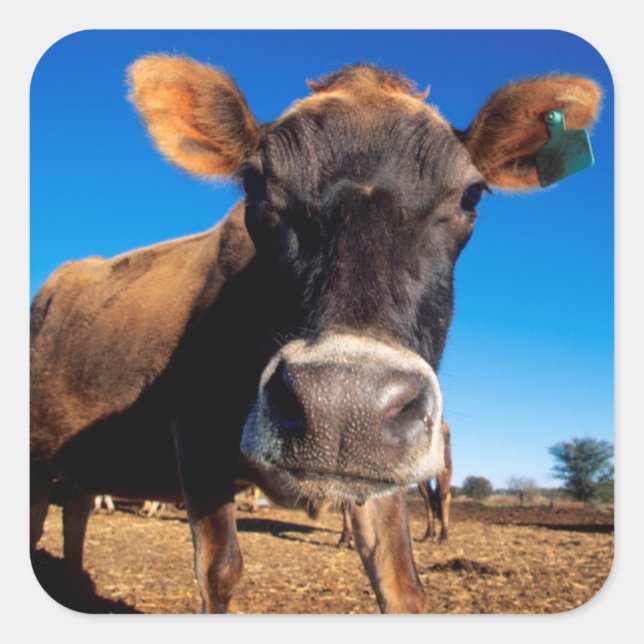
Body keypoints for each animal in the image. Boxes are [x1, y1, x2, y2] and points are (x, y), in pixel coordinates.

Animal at [30, 56, 601, 613]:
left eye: (471, 194)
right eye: (254, 183)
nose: (343, 406)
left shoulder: (382, 471)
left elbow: (402, 585)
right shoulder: (193, 429)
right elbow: (219, 571)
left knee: (75, 506)